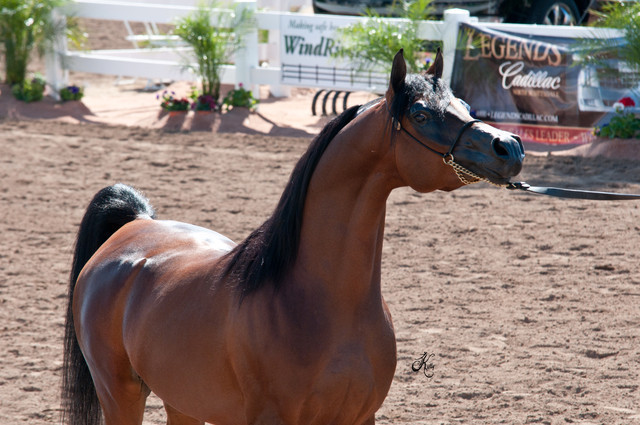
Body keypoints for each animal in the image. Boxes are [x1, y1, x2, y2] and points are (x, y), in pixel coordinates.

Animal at [62, 49, 524, 425]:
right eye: (422, 115)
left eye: (464, 105)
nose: (510, 148)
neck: (321, 301)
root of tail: (134, 224)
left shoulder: (361, 417)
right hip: (119, 395)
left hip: (183, 400)